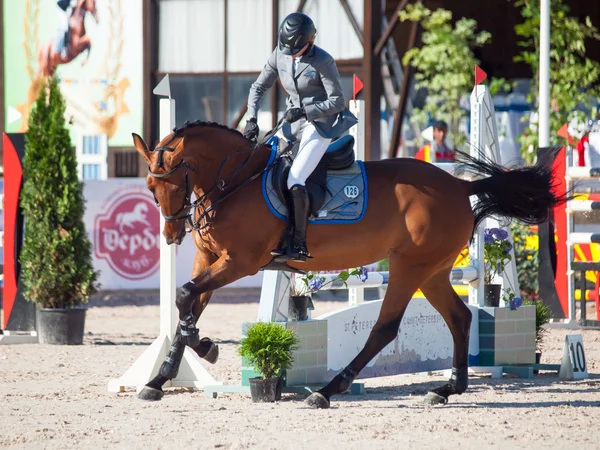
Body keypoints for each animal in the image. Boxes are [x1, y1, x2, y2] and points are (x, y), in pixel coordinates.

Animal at [130, 119, 564, 408]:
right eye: (150, 187)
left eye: (174, 183)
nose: (172, 235)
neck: (236, 181)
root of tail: (461, 185)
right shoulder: (209, 258)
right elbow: (186, 304)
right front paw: (161, 377)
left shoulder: (240, 262)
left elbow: (185, 296)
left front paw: (205, 348)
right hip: (434, 272)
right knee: (460, 318)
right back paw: (446, 389)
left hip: (409, 267)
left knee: (385, 328)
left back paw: (327, 391)